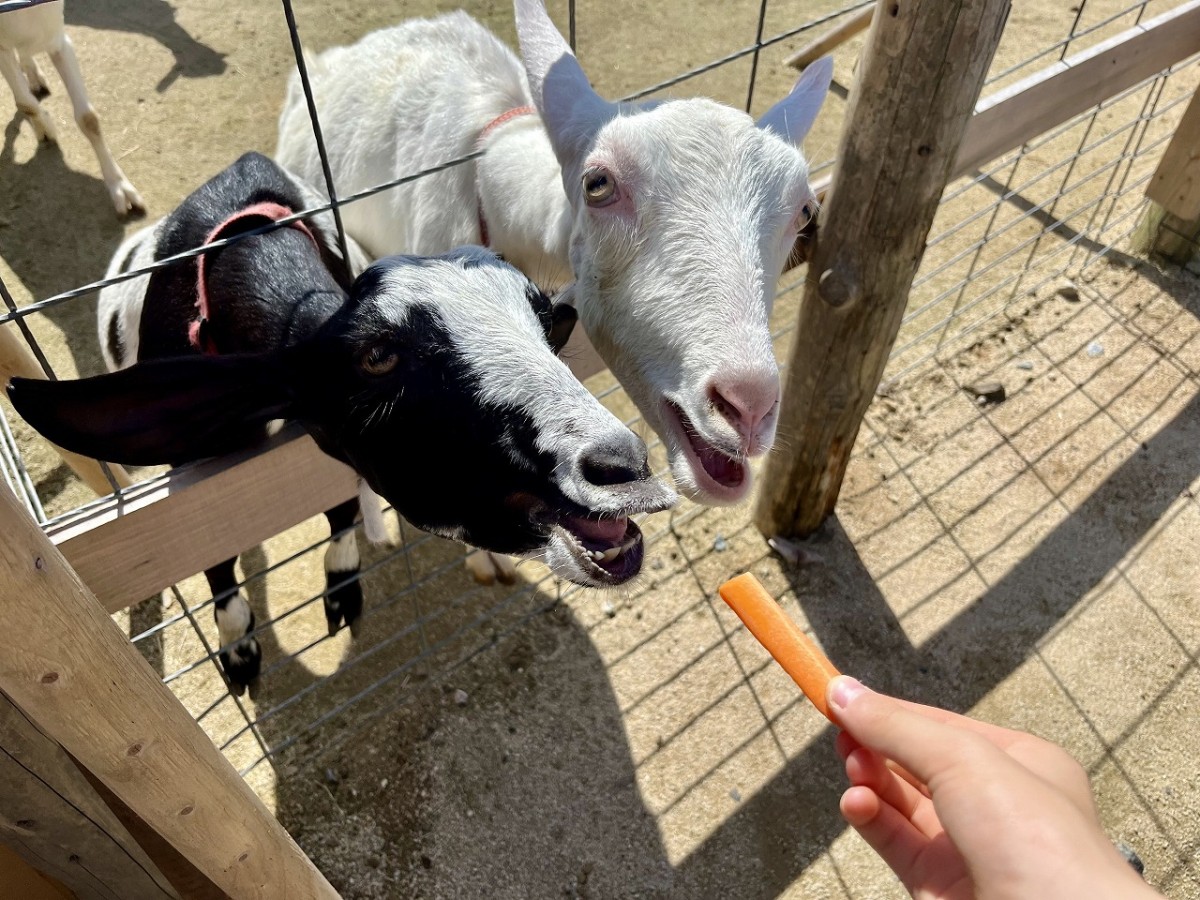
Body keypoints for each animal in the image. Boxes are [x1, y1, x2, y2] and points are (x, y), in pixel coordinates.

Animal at [0, 0, 142, 217]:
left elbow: (88, 118)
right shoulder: (2, 49)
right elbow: (25, 102)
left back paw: (34, 76)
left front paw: (121, 189)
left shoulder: (58, 39)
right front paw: (46, 128)